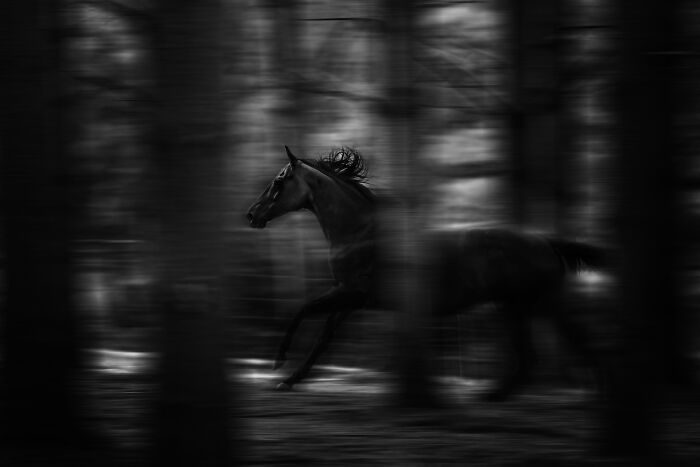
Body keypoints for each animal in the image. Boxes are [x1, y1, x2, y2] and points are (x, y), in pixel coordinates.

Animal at [246, 146, 605, 398]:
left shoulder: (351, 292)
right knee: (539, 356)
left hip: (534, 304)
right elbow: (323, 339)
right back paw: (493, 397)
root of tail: (545, 241)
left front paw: (278, 364)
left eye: (278, 181)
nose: (251, 215)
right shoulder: (350, 299)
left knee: (568, 349)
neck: (361, 233)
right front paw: (290, 380)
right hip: (519, 307)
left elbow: (302, 310)